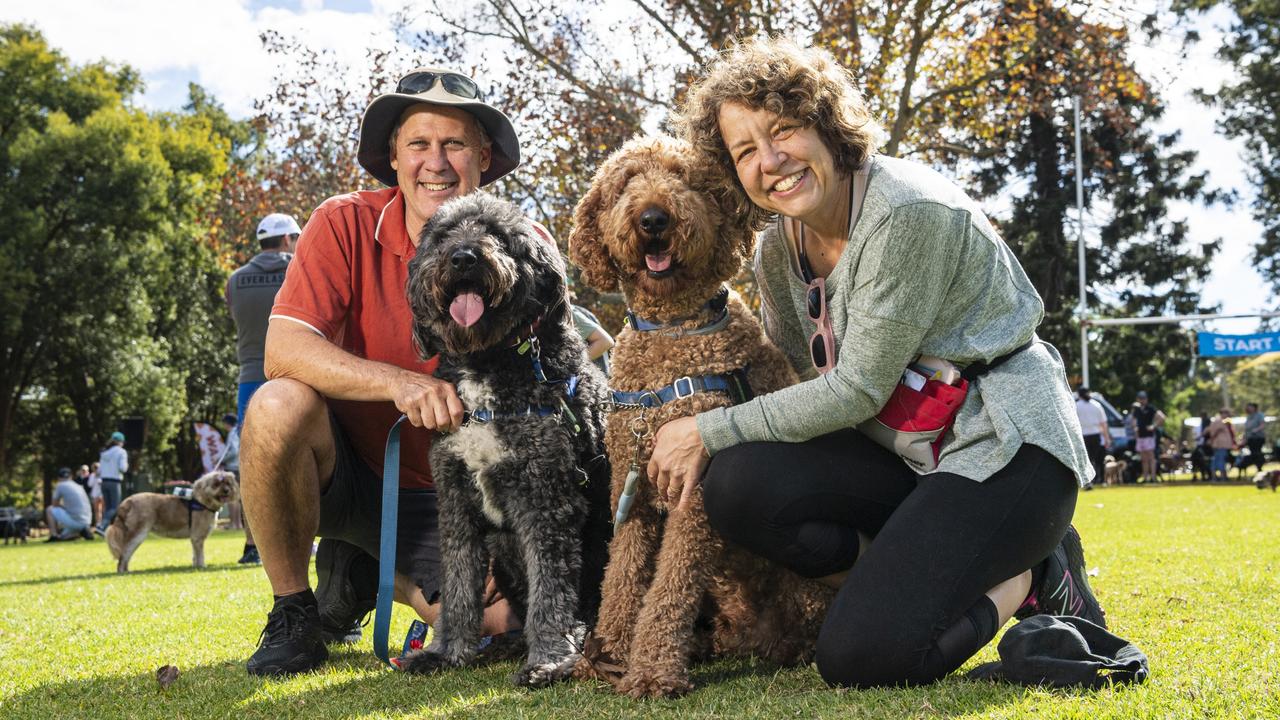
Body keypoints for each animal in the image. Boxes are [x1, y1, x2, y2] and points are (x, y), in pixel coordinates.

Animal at [404, 189, 614, 681]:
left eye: (498, 234)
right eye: (444, 234)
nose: (463, 258)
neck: (488, 363)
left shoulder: (548, 500)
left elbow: (551, 592)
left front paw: (550, 658)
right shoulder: (456, 501)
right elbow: (458, 586)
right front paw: (447, 651)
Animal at [568, 134, 829, 696]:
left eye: (684, 179)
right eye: (626, 182)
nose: (653, 218)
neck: (671, 331)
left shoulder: (693, 493)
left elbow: (669, 586)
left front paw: (651, 670)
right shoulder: (629, 482)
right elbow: (622, 574)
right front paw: (607, 654)